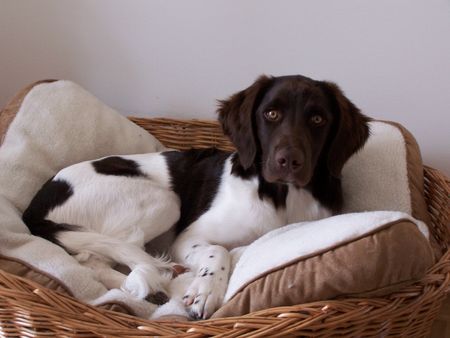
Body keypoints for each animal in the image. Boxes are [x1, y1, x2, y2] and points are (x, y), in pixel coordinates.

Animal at [22, 74, 370, 320]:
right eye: (271, 113)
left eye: (318, 119)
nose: (289, 161)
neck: (281, 196)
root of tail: (33, 210)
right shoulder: (188, 237)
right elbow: (219, 250)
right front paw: (206, 290)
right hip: (165, 202)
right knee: (103, 258)